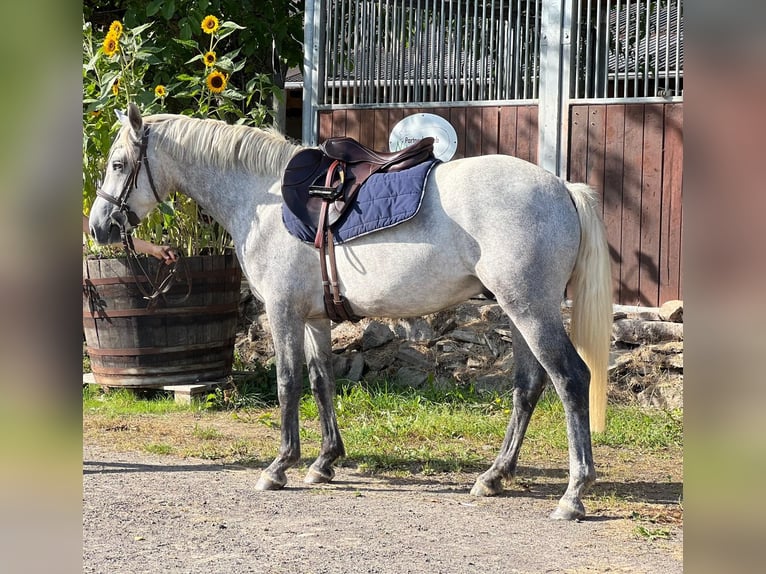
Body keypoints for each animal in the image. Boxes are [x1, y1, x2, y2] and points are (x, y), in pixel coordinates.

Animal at [90, 103, 616, 520]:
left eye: (118, 163)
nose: (98, 227)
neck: (262, 199)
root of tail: (562, 188)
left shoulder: (282, 311)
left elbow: (288, 382)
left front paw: (280, 466)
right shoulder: (315, 319)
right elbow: (322, 381)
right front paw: (324, 462)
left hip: (531, 308)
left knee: (570, 378)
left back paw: (573, 494)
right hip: (518, 310)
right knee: (527, 386)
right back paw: (494, 476)